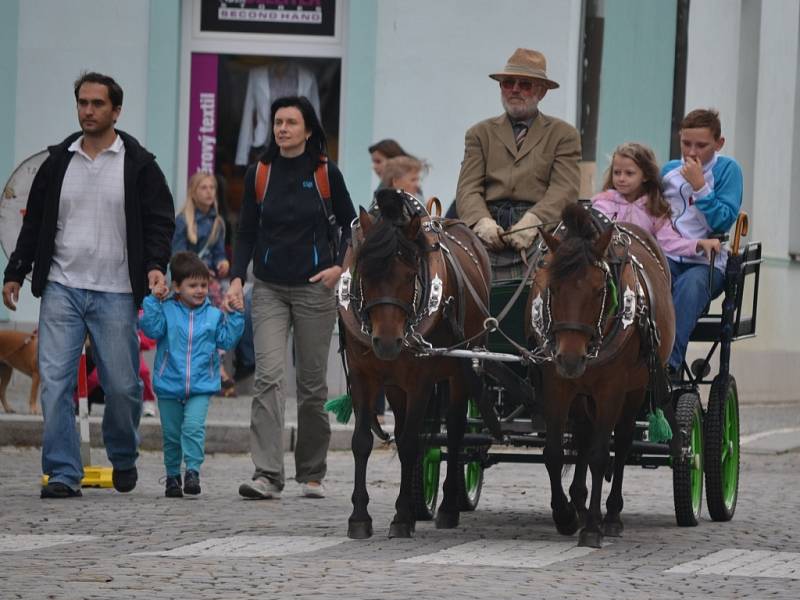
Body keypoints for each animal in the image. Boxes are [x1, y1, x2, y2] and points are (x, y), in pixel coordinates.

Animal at [340, 189, 490, 540]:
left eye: (409, 275)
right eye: (365, 272)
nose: (387, 343)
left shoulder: (420, 379)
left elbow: (410, 442)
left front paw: (401, 517)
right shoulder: (363, 375)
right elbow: (361, 442)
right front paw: (359, 517)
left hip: (460, 371)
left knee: (455, 432)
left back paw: (448, 507)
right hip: (396, 385)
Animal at [528, 206, 680, 548]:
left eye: (600, 290)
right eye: (552, 287)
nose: (571, 359)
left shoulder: (612, 388)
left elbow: (600, 454)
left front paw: (593, 528)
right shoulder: (556, 383)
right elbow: (554, 453)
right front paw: (566, 515)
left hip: (635, 388)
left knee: (621, 443)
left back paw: (610, 515)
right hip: (582, 393)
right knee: (585, 435)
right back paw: (580, 502)